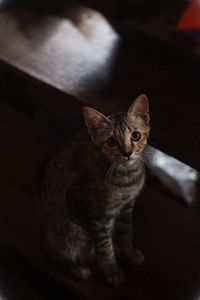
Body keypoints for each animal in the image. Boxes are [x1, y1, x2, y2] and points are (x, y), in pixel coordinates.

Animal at [40, 94, 150, 286]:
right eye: (111, 141)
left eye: (135, 135)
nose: (127, 153)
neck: (126, 176)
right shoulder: (98, 216)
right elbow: (104, 248)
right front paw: (112, 271)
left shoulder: (127, 207)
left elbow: (126, 231)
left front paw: (129, 252)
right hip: (68, 232)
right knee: (56, 251)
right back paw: (79, 268)